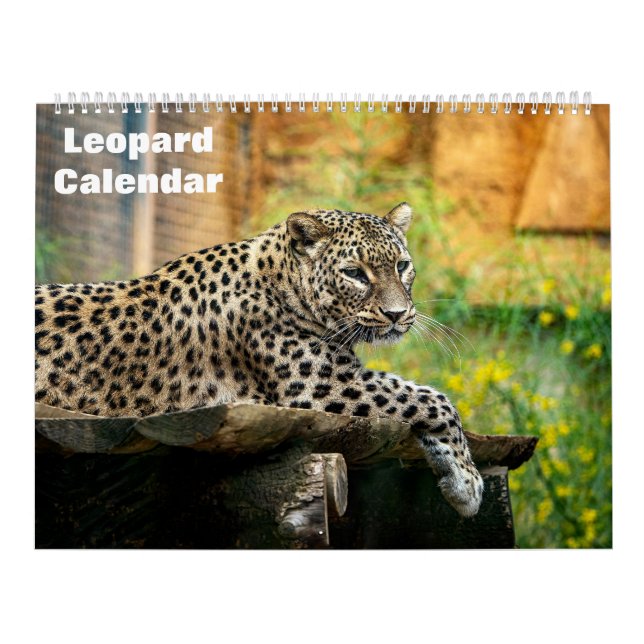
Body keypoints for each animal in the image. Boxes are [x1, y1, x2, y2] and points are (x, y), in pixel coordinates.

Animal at [35, 203, 484, 517]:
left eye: (402, 265)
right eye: (354, 273)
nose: (397, 314)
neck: (281, 280)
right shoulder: (322, 388)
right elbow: (432, 399)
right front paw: (468, 485)